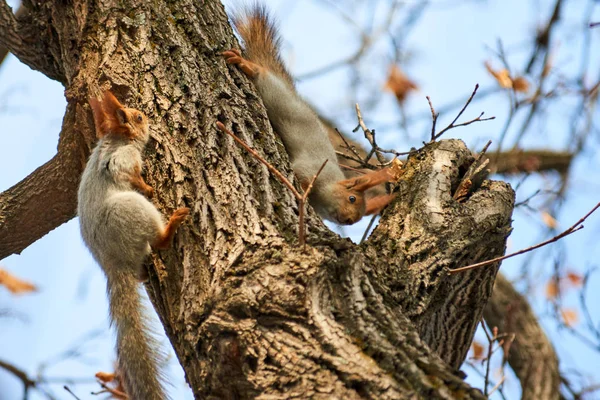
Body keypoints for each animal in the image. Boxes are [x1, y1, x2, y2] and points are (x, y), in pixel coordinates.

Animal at [77, 90, 189, 400]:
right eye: (138, 117)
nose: (149, 118)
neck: (118, 140)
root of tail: (112, 265)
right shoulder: (121, 161)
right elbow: (130, 175)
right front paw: (148, 186)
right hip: (133, 209)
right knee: (159, 242)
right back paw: (172, 225)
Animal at [223, 5, 396, 225]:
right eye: (352, 198)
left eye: (357, 219)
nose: (348, 220)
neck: (330, 183)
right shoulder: (311, 169)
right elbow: (300, 175)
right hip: (270, 89)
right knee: (260, 72)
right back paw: (243, 63)